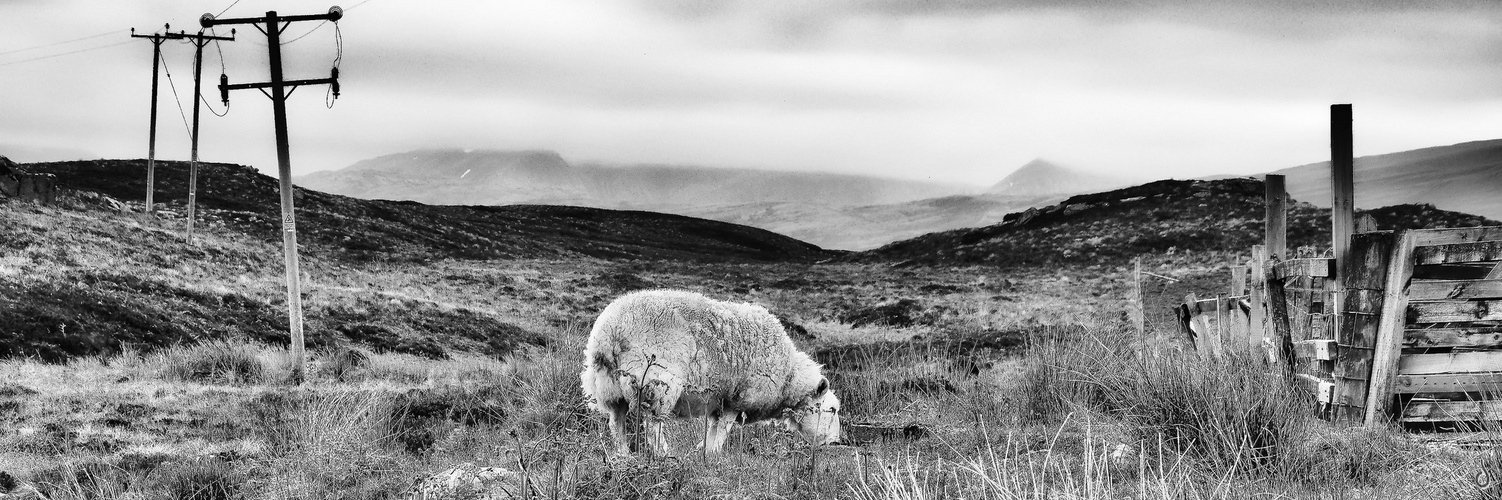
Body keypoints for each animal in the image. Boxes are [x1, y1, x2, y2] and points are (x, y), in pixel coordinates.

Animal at [576, 288, 841, 456]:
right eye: (832, 410)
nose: (835, 442)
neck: (788, 377)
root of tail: (608, 332)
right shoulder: (737, 400)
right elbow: (723, 431)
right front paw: (712, 454)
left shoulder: (719, 402)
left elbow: (713, 429)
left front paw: (703, 451)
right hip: (656, 381)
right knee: (652, 424)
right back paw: (663, 455)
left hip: (608, 386)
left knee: (616, 422)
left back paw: (623, 456)